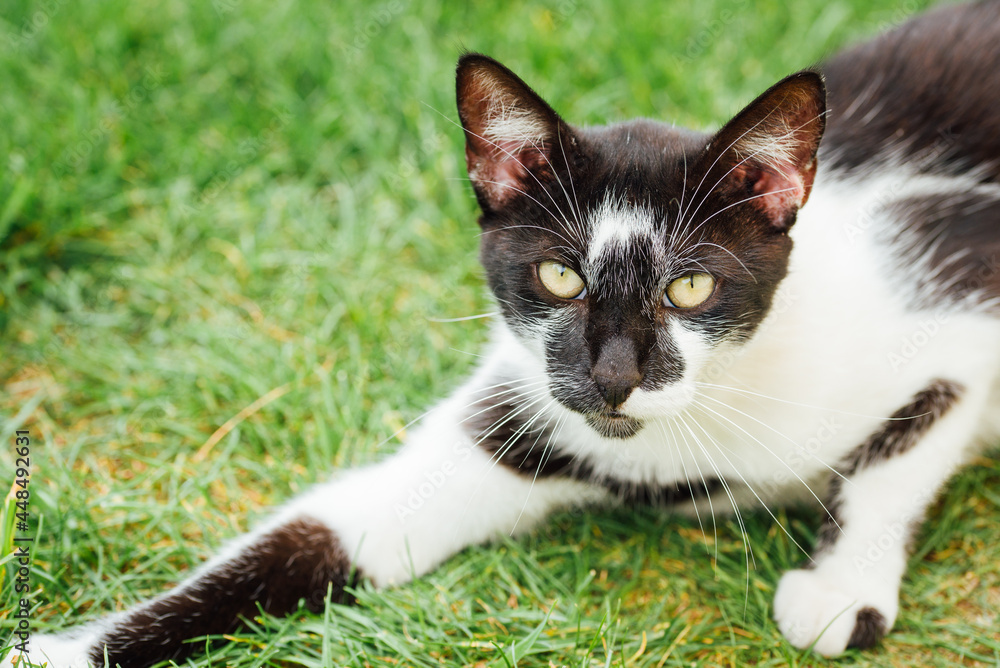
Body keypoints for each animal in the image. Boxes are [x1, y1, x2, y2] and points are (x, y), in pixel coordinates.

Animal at [9, 2, 1000, 664]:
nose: (612, 376)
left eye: (690, 286)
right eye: (560, 275)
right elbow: (332, 533)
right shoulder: (520, 408)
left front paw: (840, 588)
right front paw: (59, 650)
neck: (662, 452)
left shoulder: (956, 300)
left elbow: (898, 448)